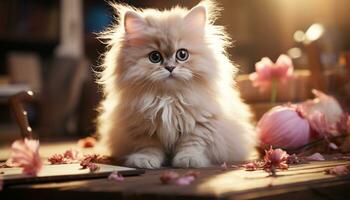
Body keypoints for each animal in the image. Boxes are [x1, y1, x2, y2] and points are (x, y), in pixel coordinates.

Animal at [97, 0, 256, 168]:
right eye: (155, 57)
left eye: (182, 54)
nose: (170, 67)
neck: (169, 98)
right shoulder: (143, 127)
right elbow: (148, 147)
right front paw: (144, 160)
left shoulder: (200, 124)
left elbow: (191, 144)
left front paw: (189, 160)